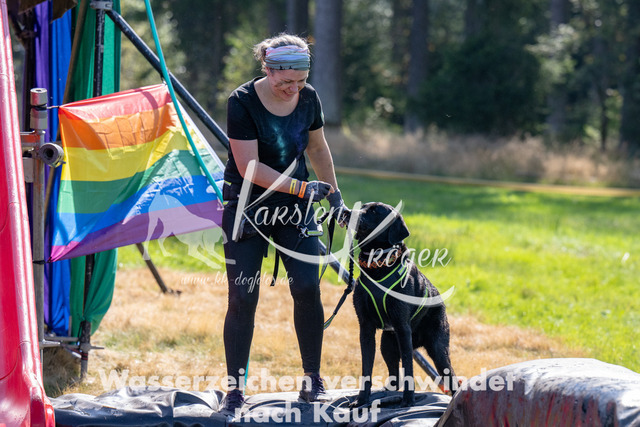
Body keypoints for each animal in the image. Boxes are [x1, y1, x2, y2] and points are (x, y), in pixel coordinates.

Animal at [347, 202, 457, 407]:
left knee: (452, 378)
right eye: (363, 206)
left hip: (438, 350)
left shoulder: (402, 327)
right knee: (395, 376)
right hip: (387, 344)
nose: (349, 212)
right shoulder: (365, 328)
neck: (378, 266)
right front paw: (361, 399)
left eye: (374, 211)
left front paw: (408, 400)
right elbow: (366, 368)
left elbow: (408, 367)